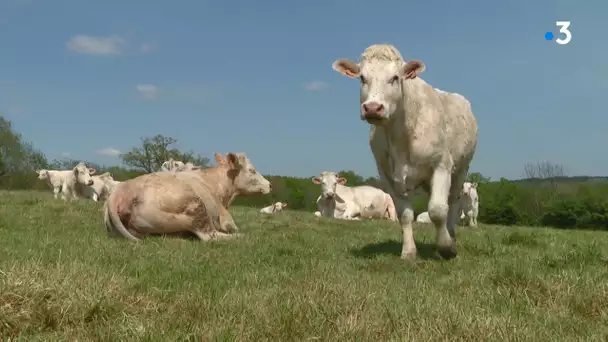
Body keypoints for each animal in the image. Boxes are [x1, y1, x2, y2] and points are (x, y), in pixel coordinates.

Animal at [332, 44, 480, 260]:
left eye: (395, 77)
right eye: (362, 78)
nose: (373, 108)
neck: (400, 137)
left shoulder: (441, 165)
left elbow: (438, 210)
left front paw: (446, 247)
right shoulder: (387, 175)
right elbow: (405, 214)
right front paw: (409, 252)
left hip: (461, 169)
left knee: (452, 203)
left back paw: (451, 237)